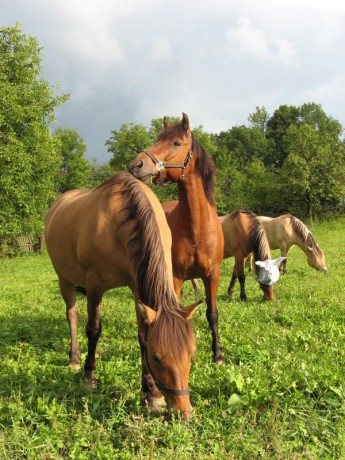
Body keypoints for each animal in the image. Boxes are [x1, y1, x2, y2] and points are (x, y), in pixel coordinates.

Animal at [43, 171, 199, 418]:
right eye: (157, 357)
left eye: (191, 353)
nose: (183, 412)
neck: (118, 225)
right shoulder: (95, 286)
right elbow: (93, 329)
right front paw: (89, 377)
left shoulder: (137, 287)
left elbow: (143, 335)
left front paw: (151, 394)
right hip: (64, 280)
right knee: (72, 315)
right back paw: (75, 358)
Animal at [127, 114, 224, 362]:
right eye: (156, 139)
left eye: (176, 143)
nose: (136, 165)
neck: (198, 229)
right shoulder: (176, 277)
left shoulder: (213, 274)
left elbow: (212, 313)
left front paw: (218, 353)